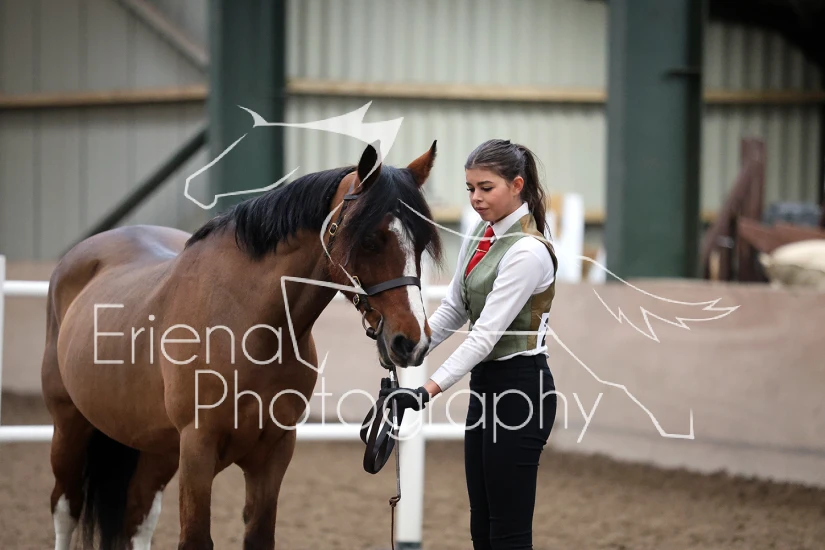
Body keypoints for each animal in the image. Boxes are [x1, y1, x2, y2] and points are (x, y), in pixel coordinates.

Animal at [41, 141, 443, 549]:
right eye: (371, 239)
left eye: (421, 242)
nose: (412, 341)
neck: (249, 328)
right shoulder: (197, 449)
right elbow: (195, 538)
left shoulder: (273, 452)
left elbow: (260, 535)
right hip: (70, 426)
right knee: (66, 507)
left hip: (155, 447)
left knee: (138, 515)